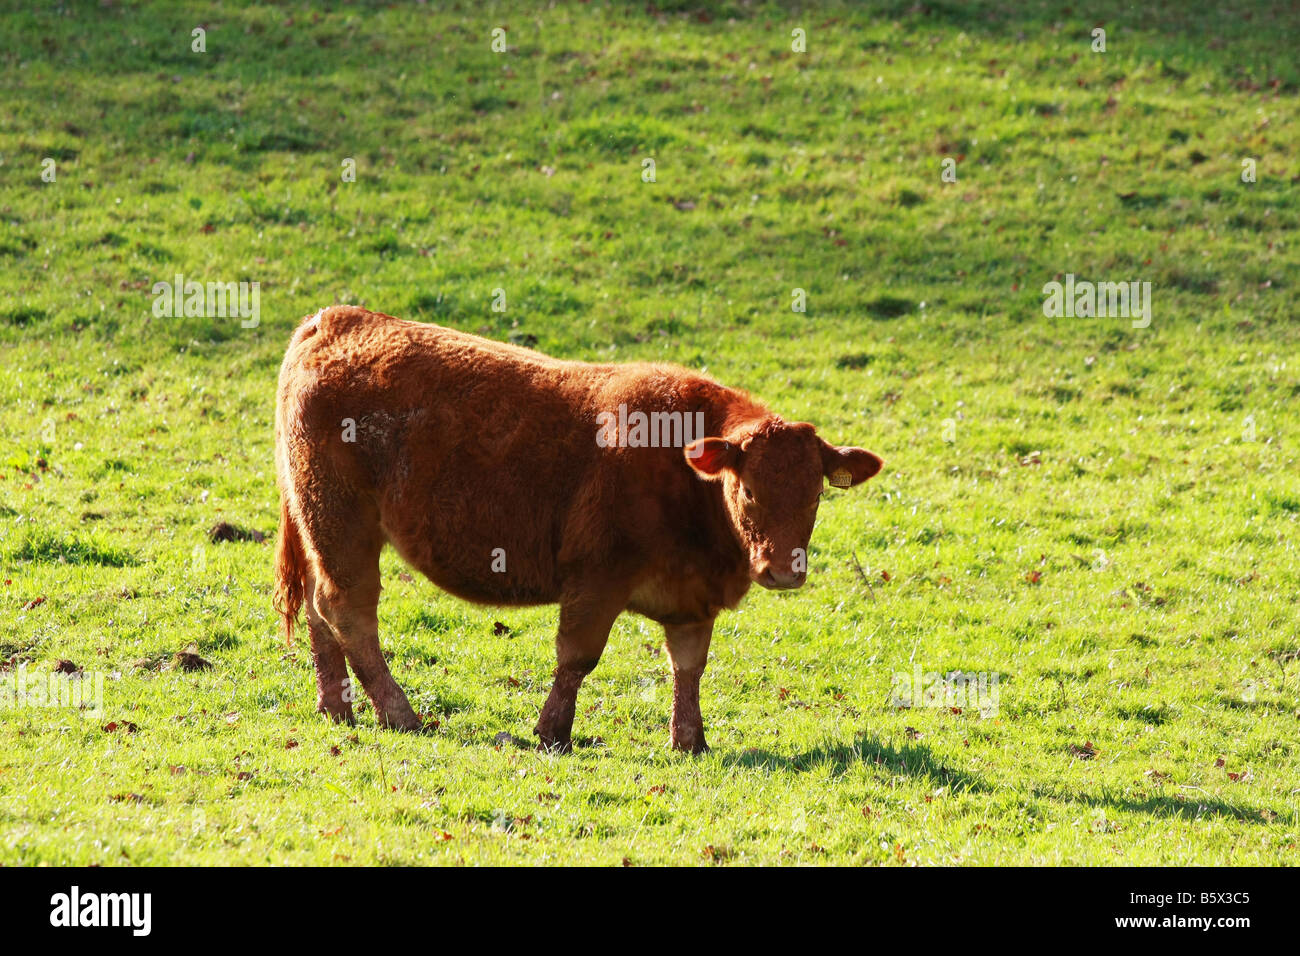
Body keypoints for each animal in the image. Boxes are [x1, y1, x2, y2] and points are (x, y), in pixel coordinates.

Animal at [274, 306, 883, 754]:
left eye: (815, 494)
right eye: (748, 490)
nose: (783, 570)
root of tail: (336, 318)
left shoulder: (693, 602)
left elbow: (688, 667)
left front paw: (690, 741)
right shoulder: (596, 577)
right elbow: (577, 657)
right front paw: (553, 732)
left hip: (318, 523)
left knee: (318, 609)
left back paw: (337, 707)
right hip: (341, 521)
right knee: (346, 610)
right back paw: (401, 714)